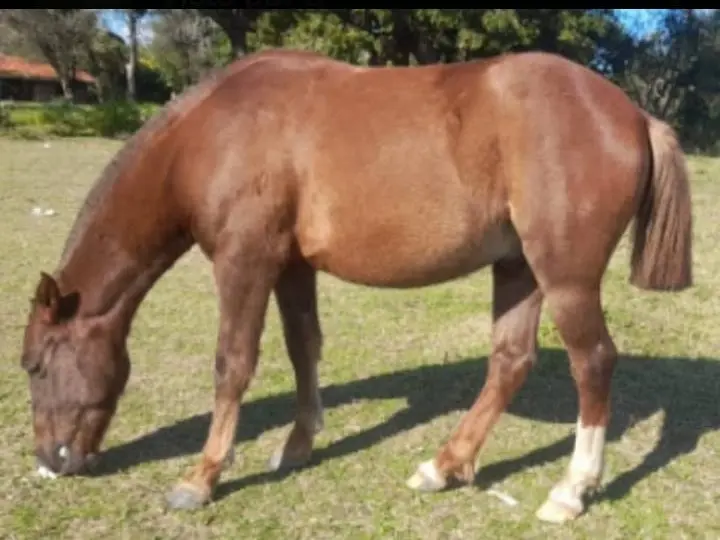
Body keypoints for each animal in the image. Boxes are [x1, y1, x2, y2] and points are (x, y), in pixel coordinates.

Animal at [19, 48, 692, 524]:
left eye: (34, 365)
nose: (52, 461)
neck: (216, 130)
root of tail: (632, 114)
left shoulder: (244, 262)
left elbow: (232, 364)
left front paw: (201, 477)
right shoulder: (291, 267)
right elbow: (303, 350)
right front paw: (296, 446)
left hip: (565, 277)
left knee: (593, 362)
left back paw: (571, 490)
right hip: (518, 267)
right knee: (510, 360)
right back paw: (445, 465)